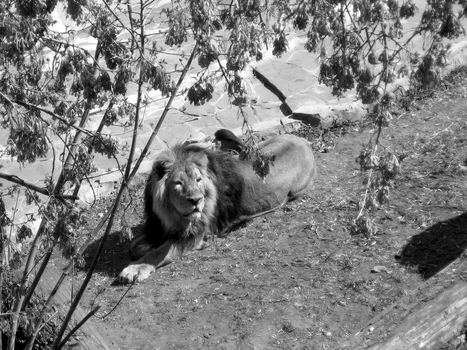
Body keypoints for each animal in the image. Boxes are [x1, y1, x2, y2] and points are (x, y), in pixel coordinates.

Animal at [118, 130, 318, 284]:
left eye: (198, 180)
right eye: (178, 183)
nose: (196, 200)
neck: (171, 215)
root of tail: (304, 142)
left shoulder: (195, 234)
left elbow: (160, 252)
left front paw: (135, 269)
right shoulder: (158, 227)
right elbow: (134, 245)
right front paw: (143, 247)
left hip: (296, 190)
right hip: (256, 149)